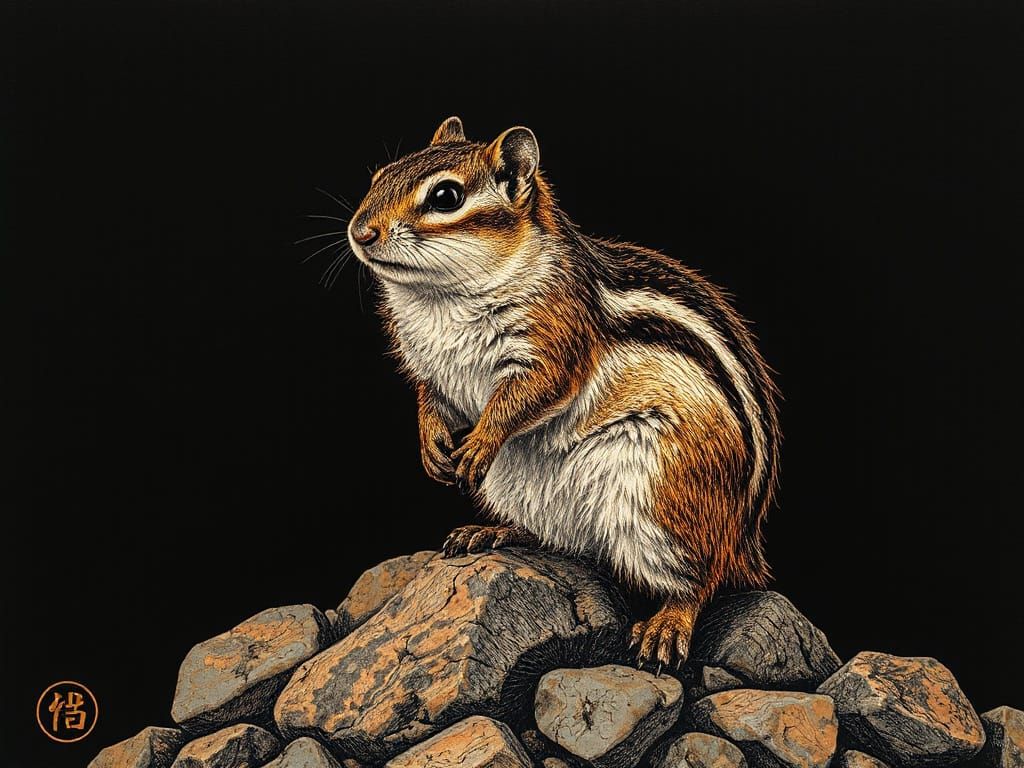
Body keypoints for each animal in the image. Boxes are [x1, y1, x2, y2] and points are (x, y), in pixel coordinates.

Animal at [346, 116, 781, 668]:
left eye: (446, 196)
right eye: (379, 176)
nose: (360, 231)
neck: (438, 298)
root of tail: (744, 542)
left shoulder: (555, 339)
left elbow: (531, 394)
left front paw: (481, 441)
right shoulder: (431, 367)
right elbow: (430, 398)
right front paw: (431, 444)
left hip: (664, 498)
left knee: (703, 578)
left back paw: (668, 624)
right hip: (522, 489)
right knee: (562, 543)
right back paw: (492, 532)